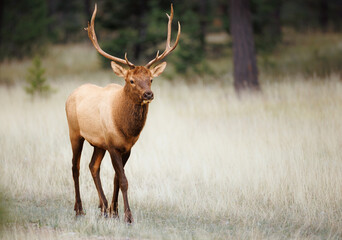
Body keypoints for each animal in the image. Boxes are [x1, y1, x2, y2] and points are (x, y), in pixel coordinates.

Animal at [65, 4, 180, 223]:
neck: (126, 128)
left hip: (98, 143)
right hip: (75, 132)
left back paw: (102, 207)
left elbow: (117, 179)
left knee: (92, 166)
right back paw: (79, 209)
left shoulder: (126, 147)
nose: (148, 94)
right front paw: (128, 216)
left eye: (151, 79)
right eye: (131, 80)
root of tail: (71, 94)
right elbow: (124, 180)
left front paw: (115, 211)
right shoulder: (112, 145)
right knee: (75, 166)